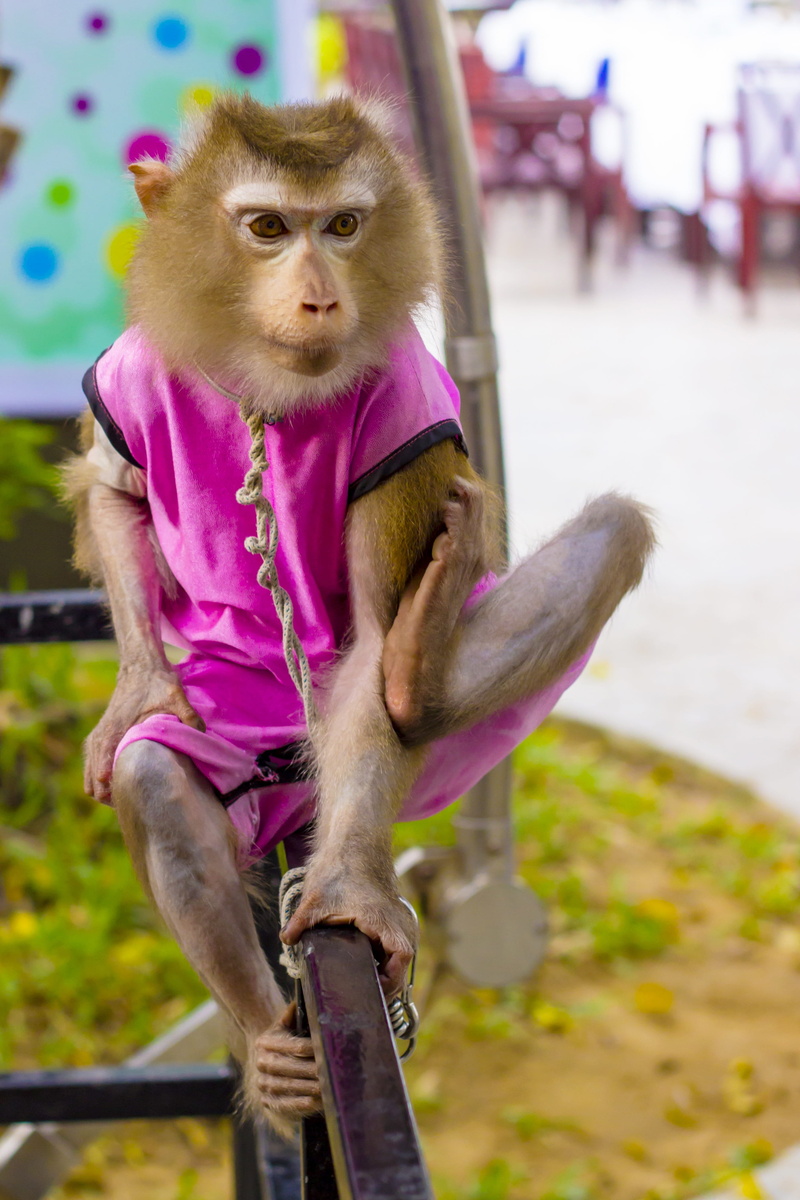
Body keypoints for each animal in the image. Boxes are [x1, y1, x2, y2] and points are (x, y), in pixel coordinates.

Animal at [62, 92, 654, 1132]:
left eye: (342, 225)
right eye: (267, 228)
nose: (318, 297)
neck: (266, 380)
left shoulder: (408, 411)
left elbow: (370, 633)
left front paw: (352, 889)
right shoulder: (134, 369)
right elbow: (114, 492)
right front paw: (138, 686)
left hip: (430, 766)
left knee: (575, 557)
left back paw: (418, 674)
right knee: (163, 780)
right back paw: (268, 1043)